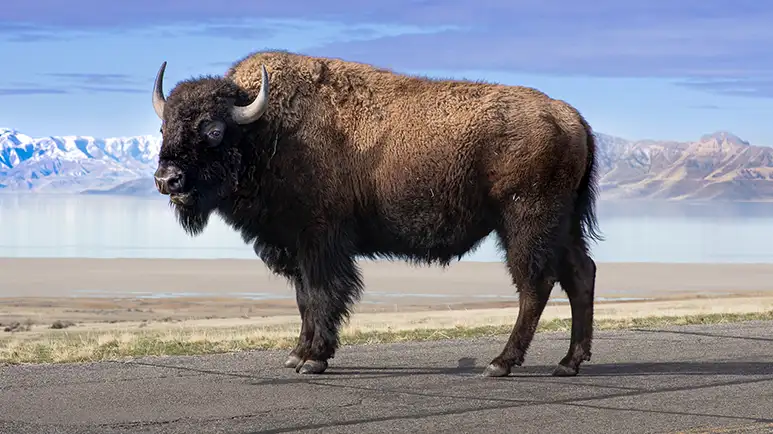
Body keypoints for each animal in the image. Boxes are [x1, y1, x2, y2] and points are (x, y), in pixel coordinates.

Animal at [151, 50, 602, 377]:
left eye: (213, 130)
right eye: (164, 127)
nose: (166, 179)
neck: (265, 129)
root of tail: (570, 117)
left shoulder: (321, 241)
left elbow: (323, 294)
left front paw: (313, 359)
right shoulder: (295, 246)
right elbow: (303, 298)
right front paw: (297, 354)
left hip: (525, 223)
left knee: (535, 285)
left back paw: (501, 363)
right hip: (563, 225)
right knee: (581, 274)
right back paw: (568, 363)